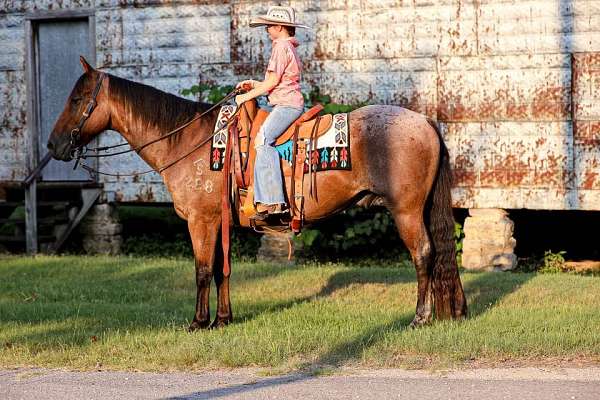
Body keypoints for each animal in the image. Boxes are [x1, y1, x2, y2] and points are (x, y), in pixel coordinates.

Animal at [48, 57, 468, 332]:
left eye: (76, 100)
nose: (54, 146)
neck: (190, 141)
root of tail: (425, 120)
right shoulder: (219, 221)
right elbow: (222, 269)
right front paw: (223, 319)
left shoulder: (200, 221)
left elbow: (202, 270)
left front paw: (198, 322)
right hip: (422, 209)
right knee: (439, 254)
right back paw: (451, 312)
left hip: (407, 211)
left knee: (423, 255)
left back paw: (420, 317)